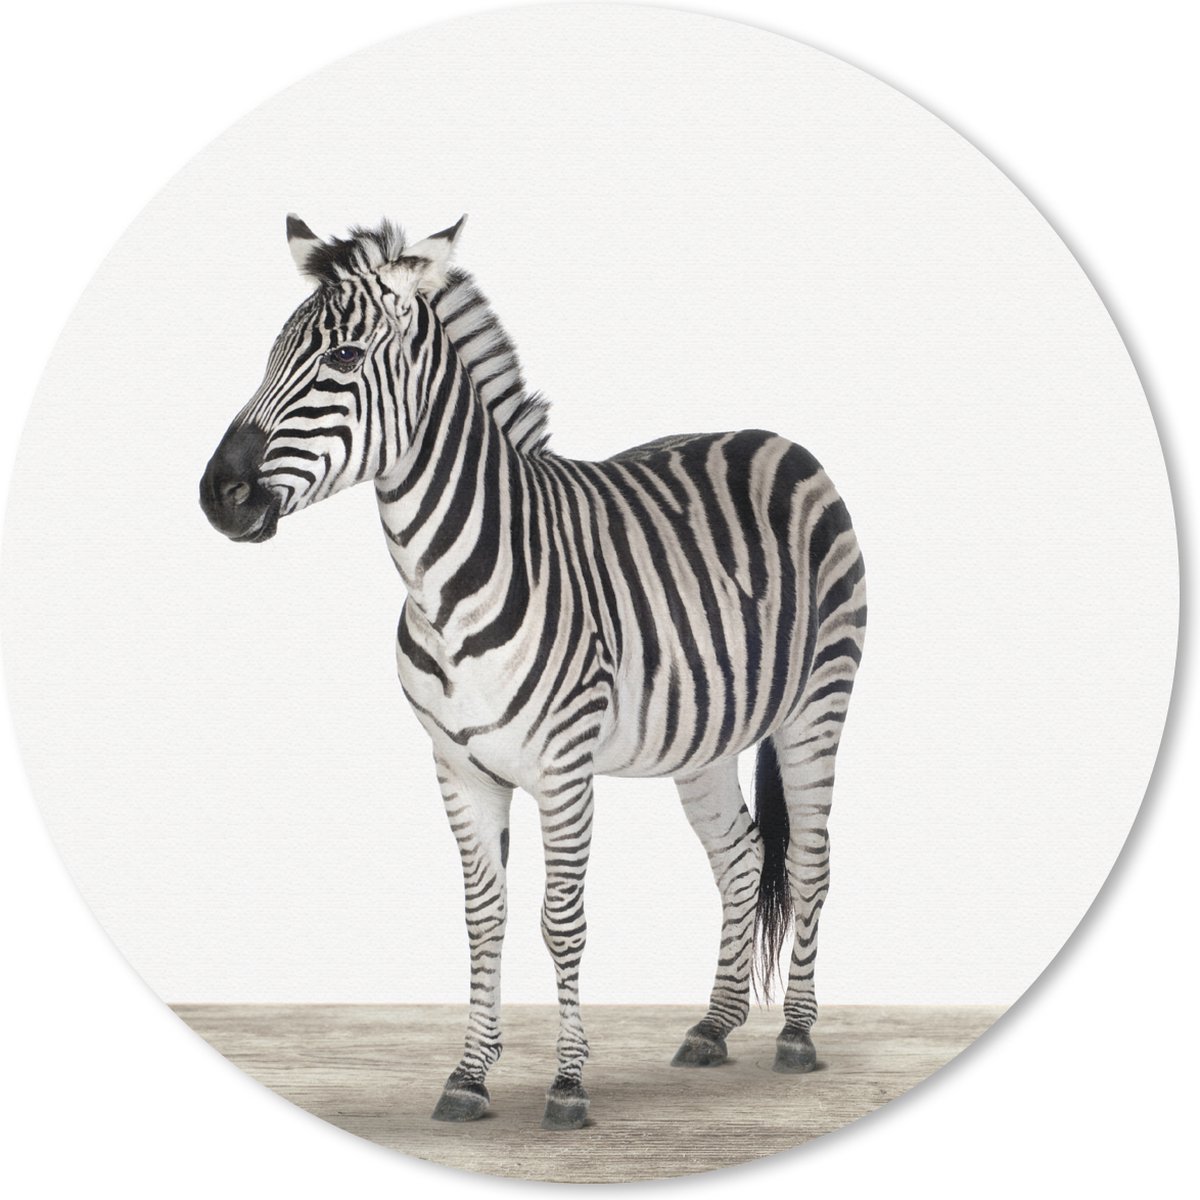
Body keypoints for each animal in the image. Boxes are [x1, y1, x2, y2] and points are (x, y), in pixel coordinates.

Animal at [199, 215, 866, 1131]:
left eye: (341, 359)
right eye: (270, 355)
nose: (217, 496)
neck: (443, 583)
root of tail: (779, 438)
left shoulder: (563, 766)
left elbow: (562, 921)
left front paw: (568, 1084)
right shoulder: (458, 767)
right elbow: (484, 919)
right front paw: (469, 1076)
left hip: (818, 706)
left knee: (808, 862)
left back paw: (797, 1035)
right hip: (704, 736)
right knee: (738, 856)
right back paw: (714, 1025)